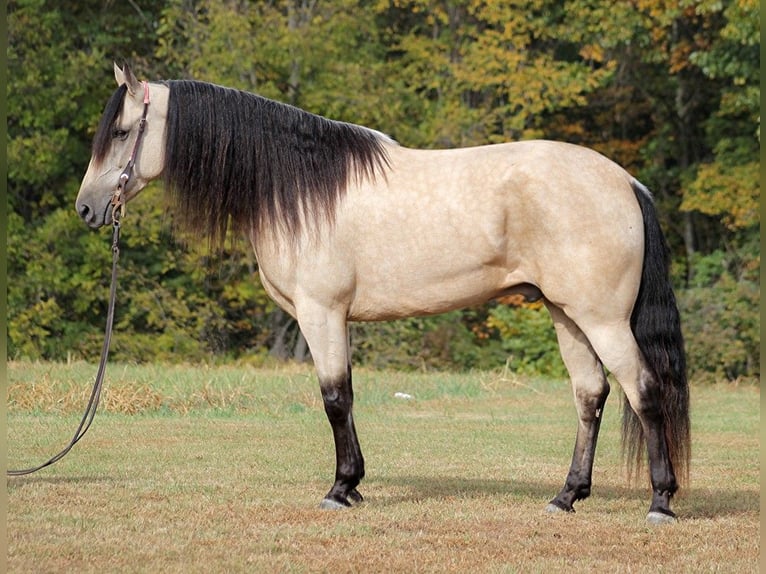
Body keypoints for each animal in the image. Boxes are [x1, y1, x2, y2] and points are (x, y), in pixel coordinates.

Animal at [76, 64, 688, 528]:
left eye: (124, 132)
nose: (86, 208)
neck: (301, 188)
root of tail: (626, 183)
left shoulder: (321, 313)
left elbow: (334, 398)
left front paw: (340, 488)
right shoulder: (335, 317)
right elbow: (344, 397)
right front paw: (353, 486)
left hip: (603, 319)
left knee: (644, 390)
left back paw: (660, 501)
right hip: (568, 316)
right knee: (590, 396)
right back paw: (566, 496)